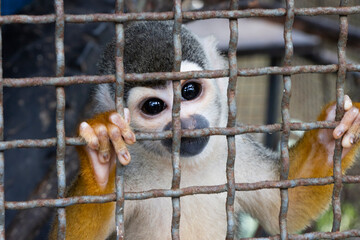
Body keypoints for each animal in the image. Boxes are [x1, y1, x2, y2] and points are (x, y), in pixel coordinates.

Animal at [50, 21, 360, 239]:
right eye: (153, 106)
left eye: (189, 91)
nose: (186, 124)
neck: (185, 167)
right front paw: (101, 155)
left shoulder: (232, 146)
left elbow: (284, 208)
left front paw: (338, 129)